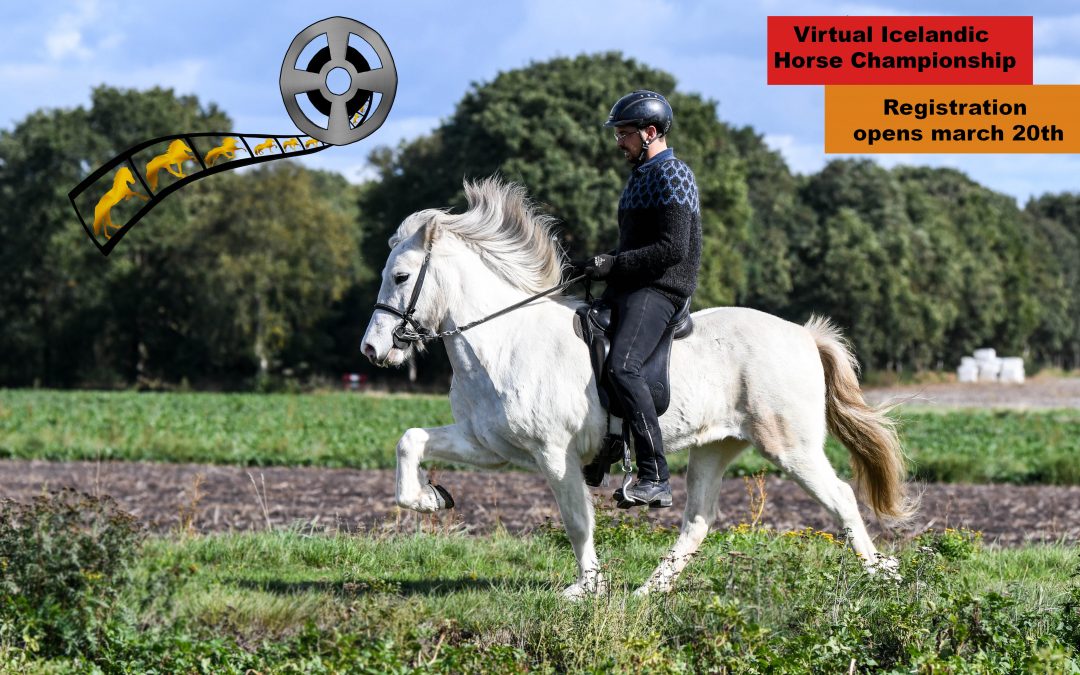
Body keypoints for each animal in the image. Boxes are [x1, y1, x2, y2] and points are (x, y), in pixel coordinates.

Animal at [361, 178, 913, 599]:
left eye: (401, 276)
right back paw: (650, 590)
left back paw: (882, 573)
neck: (503, 341)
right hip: (716, 445)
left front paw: (585, 589)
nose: (372, 349)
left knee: (841, 496)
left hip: (790, 446)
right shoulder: (488, 444)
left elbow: (576, 519)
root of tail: (803, 334)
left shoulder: (554, 453)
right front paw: (431, 499)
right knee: (697, 520)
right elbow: (410, 440)